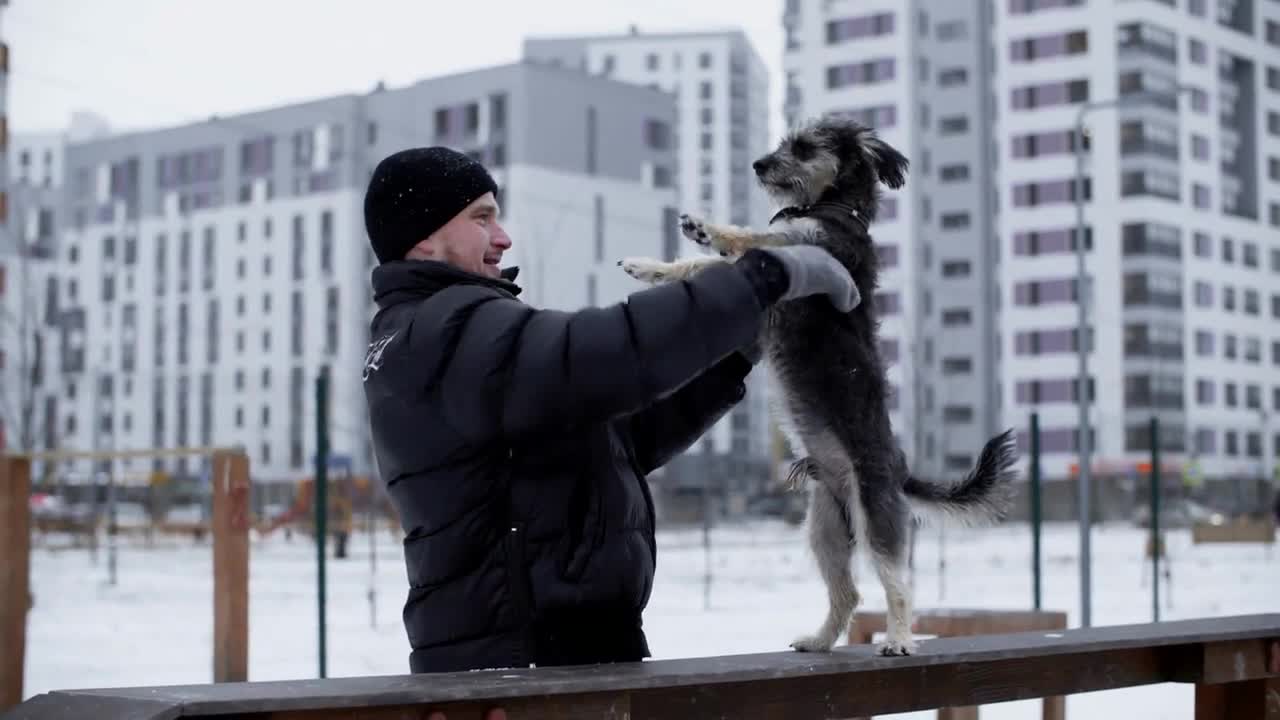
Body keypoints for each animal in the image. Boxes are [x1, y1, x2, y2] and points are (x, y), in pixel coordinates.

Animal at [619, 113, 1018, 655]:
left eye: (805, 148)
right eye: (783, 143)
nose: (759, 164)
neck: (834, 207)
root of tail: (900, 472)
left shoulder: (799, 248)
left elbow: (740, 244)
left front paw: (703, 231)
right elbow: (705, 267)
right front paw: (653, 266)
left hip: (875, 522)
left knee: (898, 587)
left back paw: (898, 638)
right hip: (825, 528)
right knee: (848, 592)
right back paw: (821, 640)